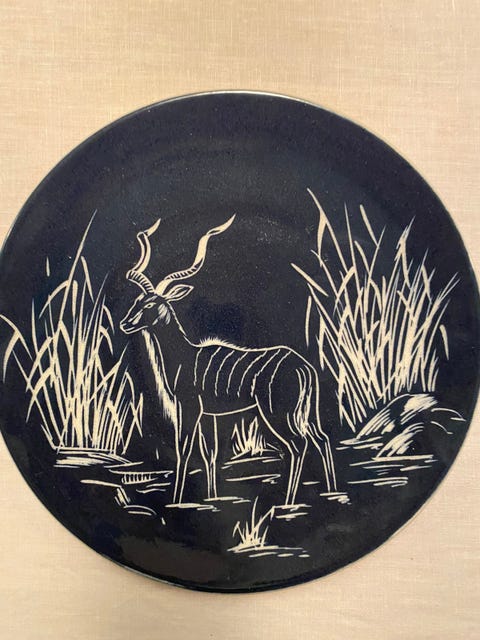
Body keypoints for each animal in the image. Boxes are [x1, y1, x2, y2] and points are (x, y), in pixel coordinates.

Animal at [120, 216, 336, 505]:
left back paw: (288, 502)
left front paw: (177, 500)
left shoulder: (189, 408)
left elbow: (183, 449)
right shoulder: (208, 415)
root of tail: (305, 368)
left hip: (279, 414)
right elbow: (209, 454)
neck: (185, 355)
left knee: (298, 446)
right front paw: (212, 498)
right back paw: (332, 491)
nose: (124, 324)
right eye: (136, 300)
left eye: (151, 304)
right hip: (305, 413)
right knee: (322, 439)